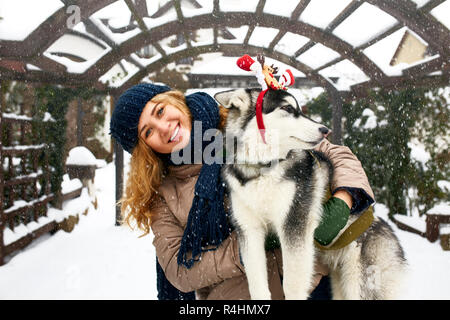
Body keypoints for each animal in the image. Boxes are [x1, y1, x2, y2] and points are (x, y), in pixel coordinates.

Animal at [214, 87, 408, 300]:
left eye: (299, 109)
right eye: (287, 108)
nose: (325, 130)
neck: (261, 170)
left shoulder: (295, 224)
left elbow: (292, 285)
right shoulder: (249, 230)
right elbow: (257, 286)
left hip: (359, 283)